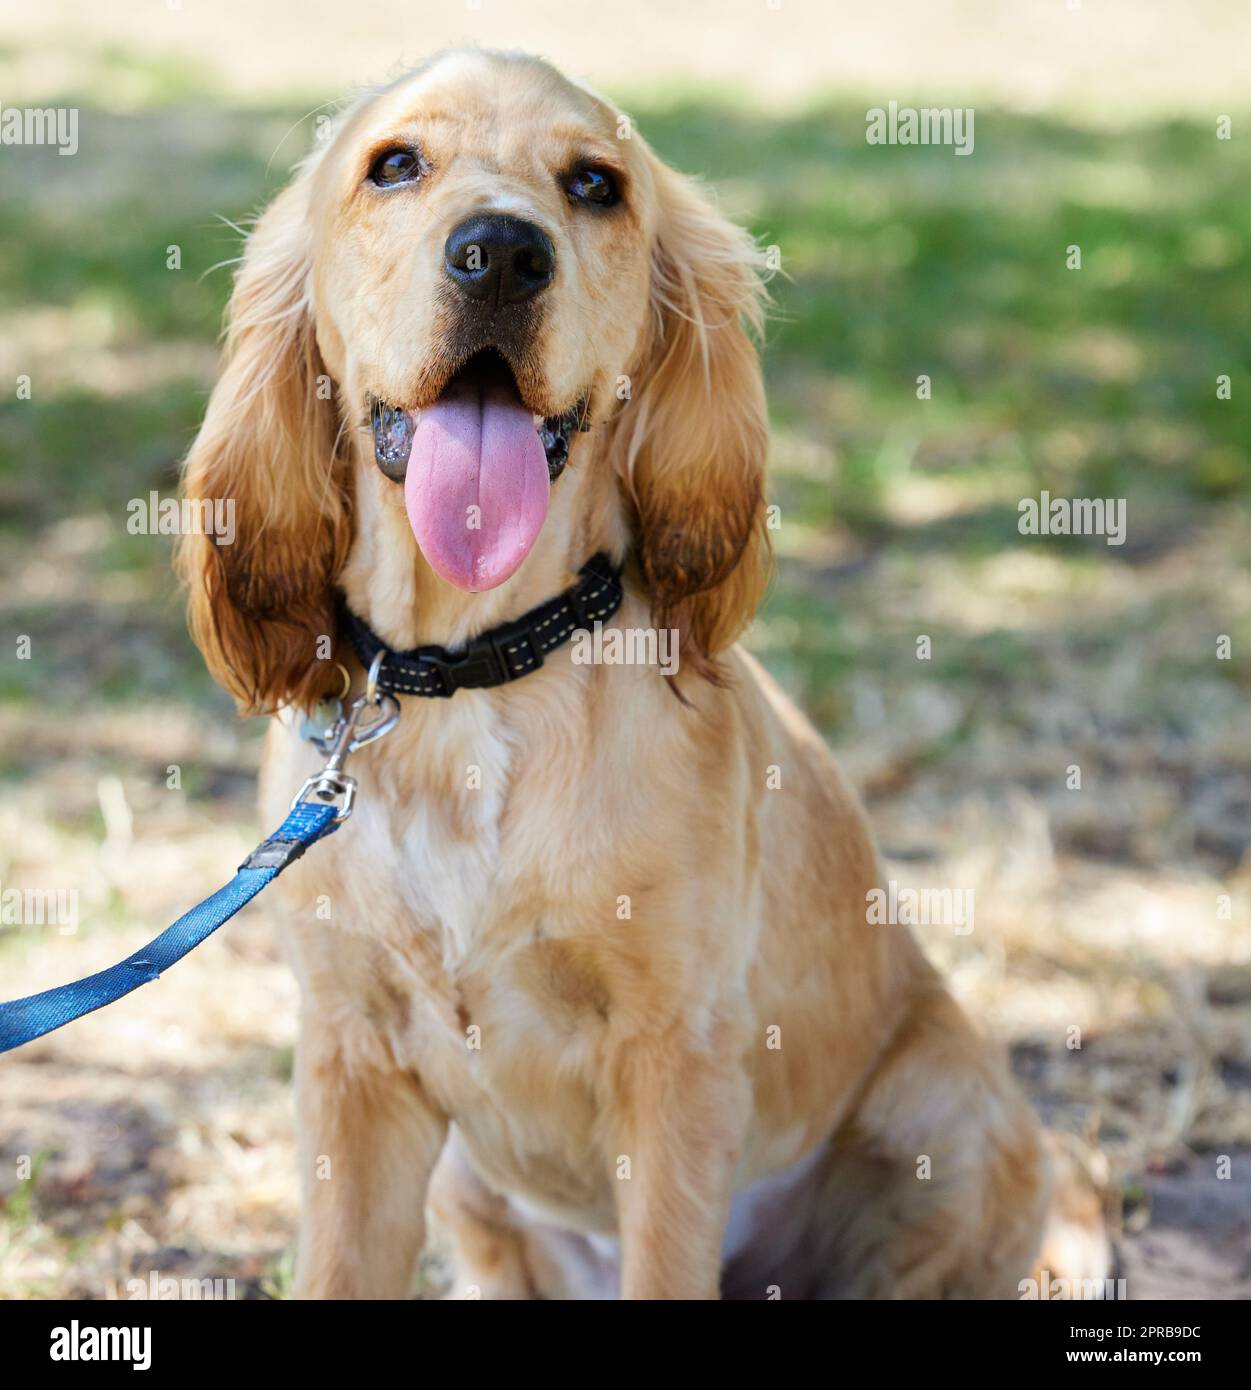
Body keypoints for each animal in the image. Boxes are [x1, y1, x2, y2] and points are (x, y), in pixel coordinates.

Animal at [177, 46, 1106, 1301]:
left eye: (595, 185)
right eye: (396, 165)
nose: (501, 253)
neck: (476, 673)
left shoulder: (676, 1054)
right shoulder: (349, 1057)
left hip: (951, 1119)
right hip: (474, 1189)